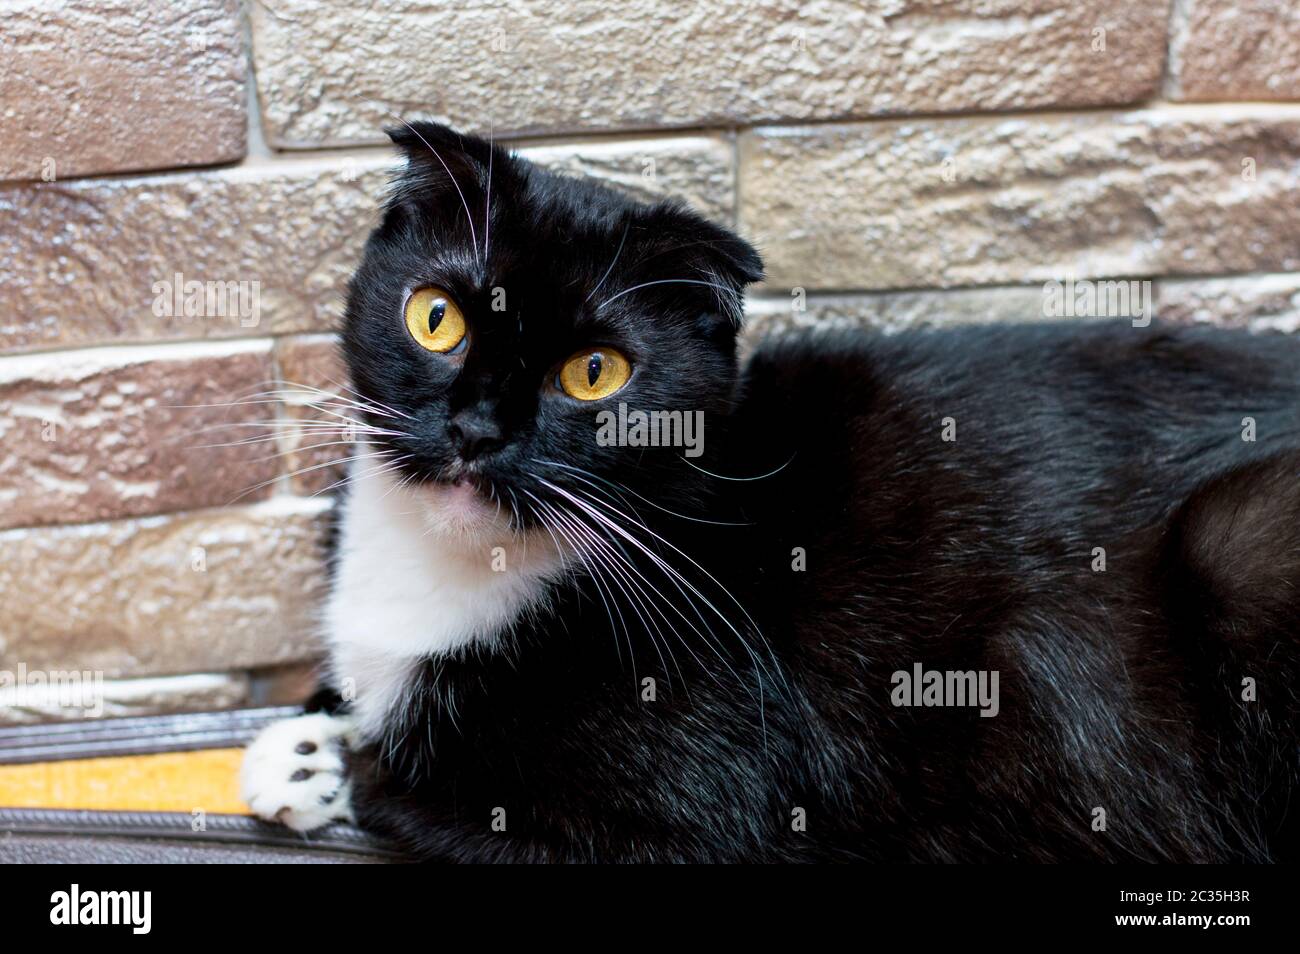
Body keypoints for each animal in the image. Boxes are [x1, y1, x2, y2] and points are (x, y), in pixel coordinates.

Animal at [239, 121, 1294, 868]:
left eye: (594, 373)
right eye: (437, 317)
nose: (478, 430)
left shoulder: (721, 814)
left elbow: (415, 793)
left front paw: (326, 762)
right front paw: (305, 739)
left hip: (1246, 540)